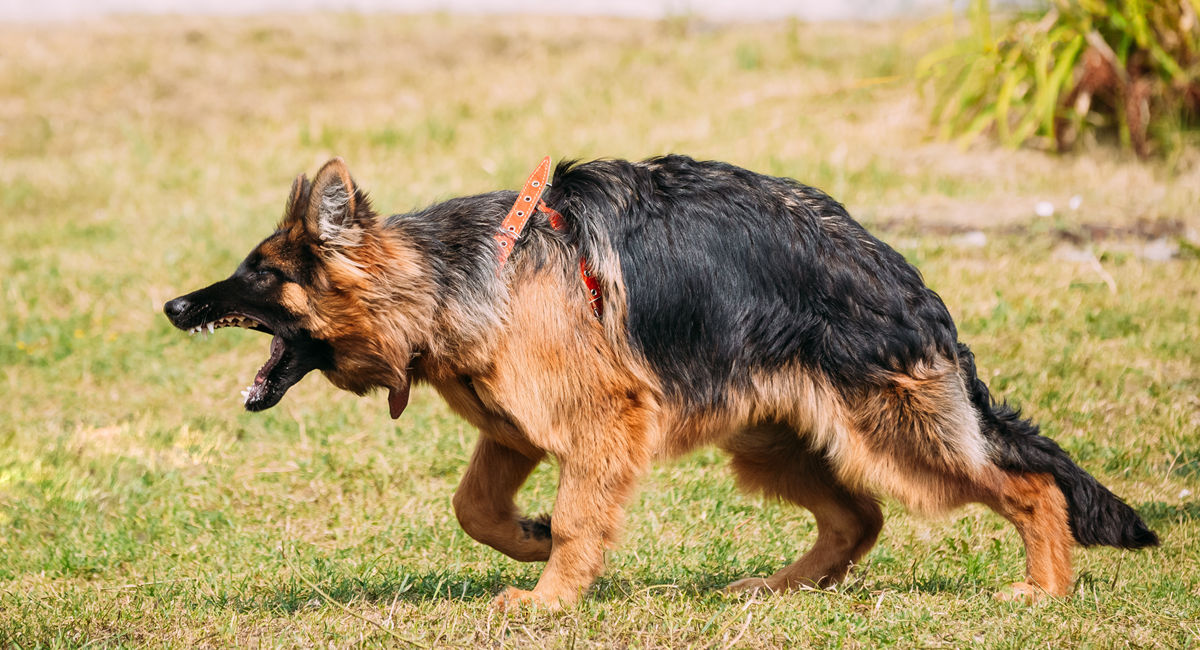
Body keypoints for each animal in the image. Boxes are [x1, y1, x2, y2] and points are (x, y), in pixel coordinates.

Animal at [164, 154, 1156, 611]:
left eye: (259, 273)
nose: (173, 306)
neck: (451, 279)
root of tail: (897, 272)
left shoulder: (600, 423)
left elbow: (575, 516)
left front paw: (549, 599)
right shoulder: (514, 429)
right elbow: (474, 508)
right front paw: (528, 543)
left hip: (891, 432)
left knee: (1027, 484)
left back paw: (1044, 589)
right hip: (769, 440)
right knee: (857, 516)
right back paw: (784, 588)